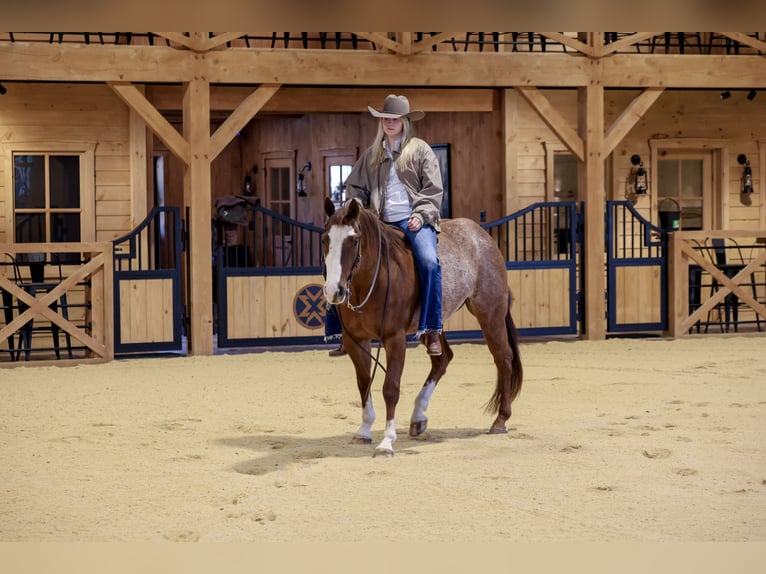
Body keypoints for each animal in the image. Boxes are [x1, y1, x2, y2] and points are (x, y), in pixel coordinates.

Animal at [322, 197, 523, 457]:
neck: (371, 280)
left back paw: (500, 420)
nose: (333, 290)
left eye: (354, 240)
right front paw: (364, 430)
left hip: (490, 313)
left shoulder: (394, 338)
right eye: (325, 239)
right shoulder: (355, 340)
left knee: (503, 358)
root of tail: (481, 236)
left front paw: (386, 442)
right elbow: (364, 383)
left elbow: (390, 388)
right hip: (433, 322)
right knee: (443, 359)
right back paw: (418, 418)